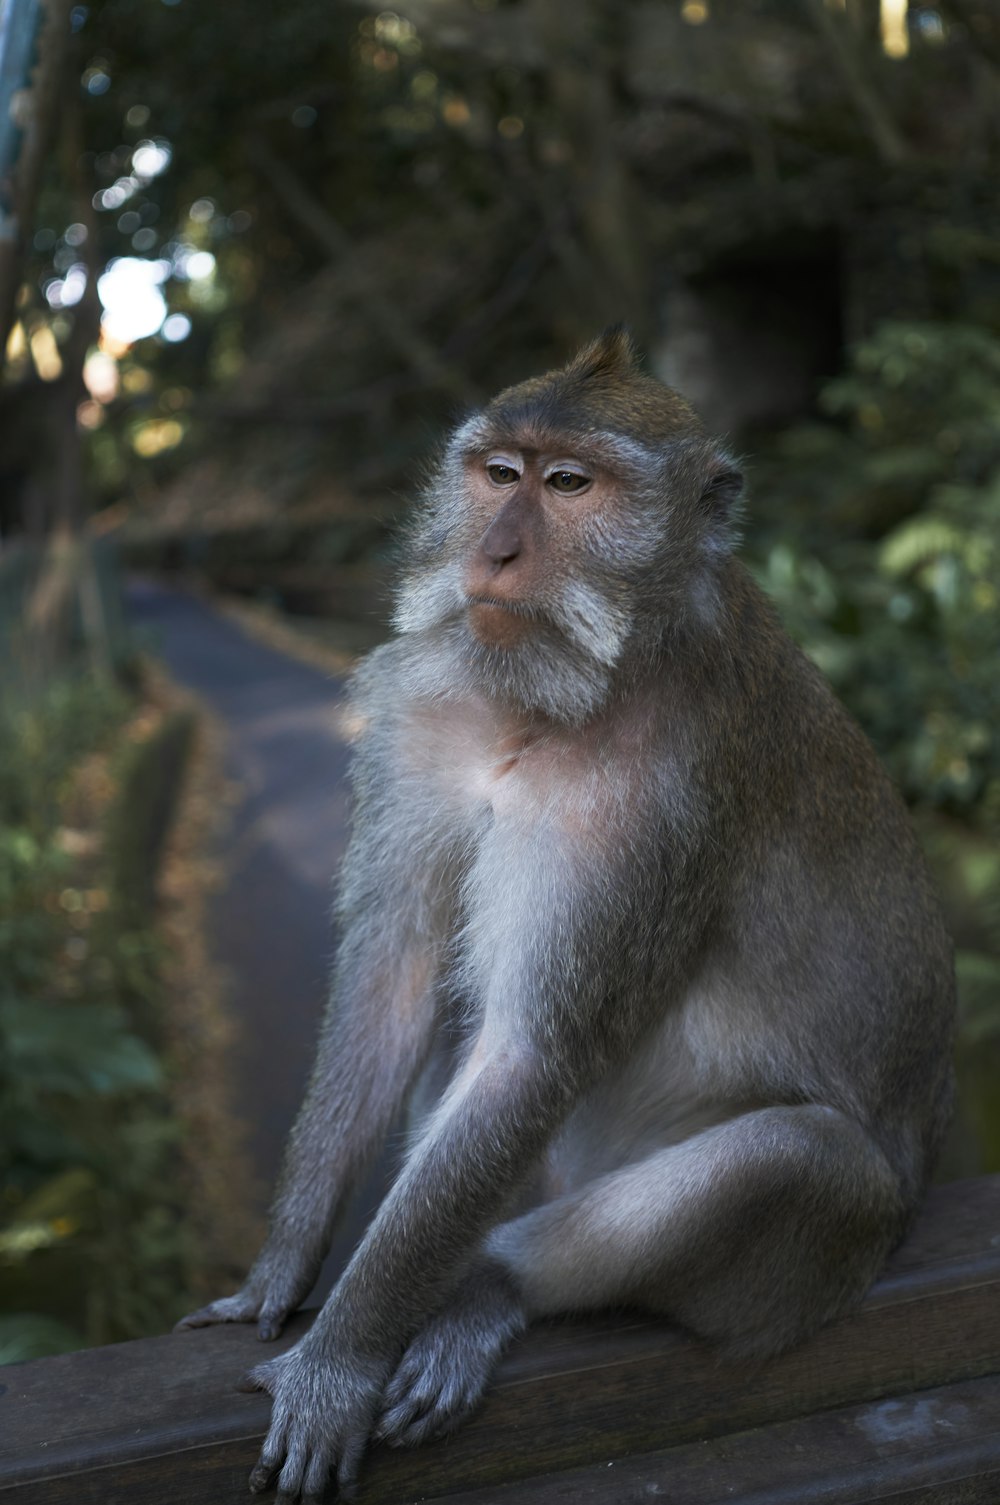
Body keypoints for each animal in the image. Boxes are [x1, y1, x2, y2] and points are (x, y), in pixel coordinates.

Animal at [175, 332, 957, 1505]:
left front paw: (336, 1360)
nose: (495, 552)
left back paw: (480, 1289)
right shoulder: (421, 715)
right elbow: (394, 973)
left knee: (800, 1154)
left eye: (571, 485)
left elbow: (530, 1057)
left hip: (822, 1260)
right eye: (501, 472)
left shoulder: (655, 804)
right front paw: (280, 1268)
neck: (566, 692)